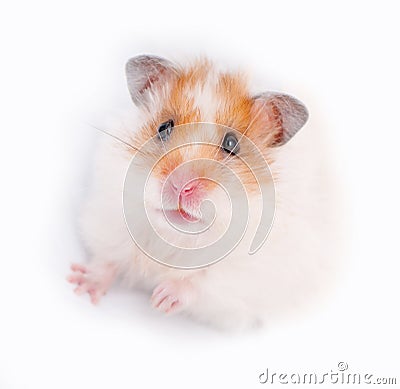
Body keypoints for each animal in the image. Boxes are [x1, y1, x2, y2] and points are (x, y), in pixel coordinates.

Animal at [69, 53, 338, 328]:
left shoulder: (252, 271)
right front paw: (79, 286)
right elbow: (107, 259)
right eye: (164, 127)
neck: (178, 238)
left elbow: (201, 281)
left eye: (231, 144)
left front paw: (160, 299)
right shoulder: (110, 220)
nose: (179, 185)